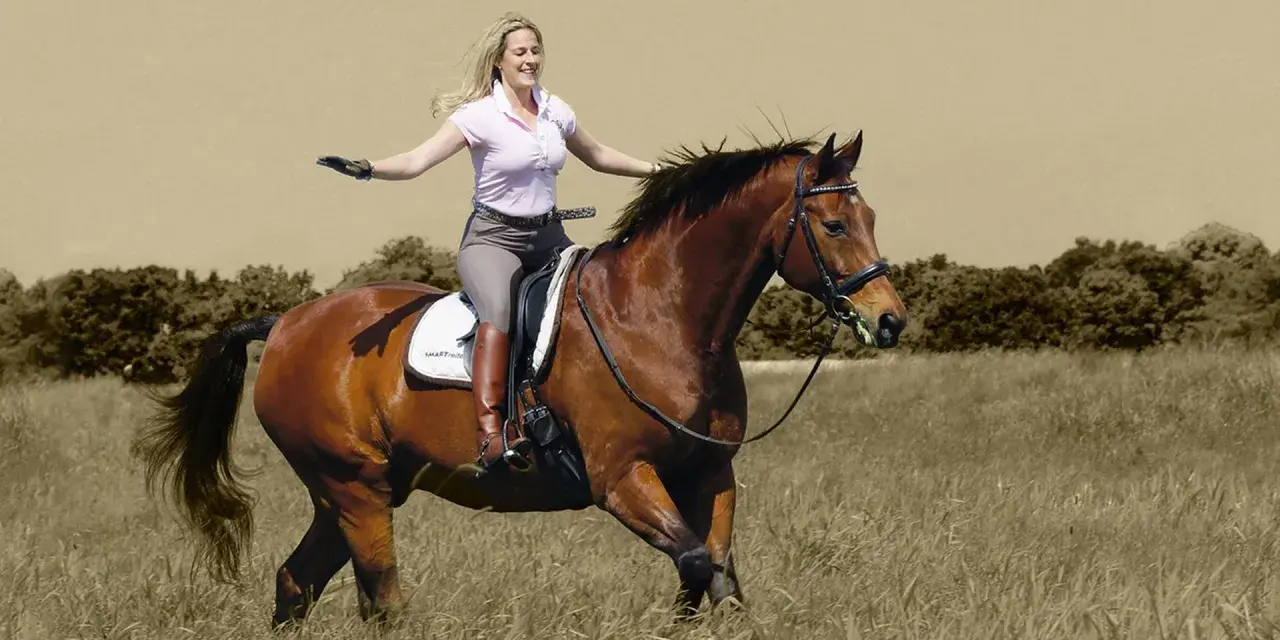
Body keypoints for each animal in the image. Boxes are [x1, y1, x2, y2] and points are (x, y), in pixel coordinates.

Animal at [132, 130, 909, 628]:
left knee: (298, 583)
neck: (661, 316)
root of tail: (287, 323)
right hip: (354, 488)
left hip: (352, 492)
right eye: (834, 226)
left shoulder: (710, 475)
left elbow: (716, 579)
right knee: (382, 601)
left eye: (871, 215)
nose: (890, 319)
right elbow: (697, 566)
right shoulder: (622, 479)